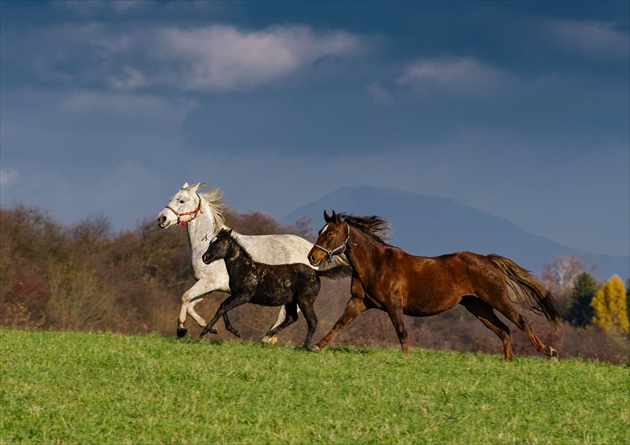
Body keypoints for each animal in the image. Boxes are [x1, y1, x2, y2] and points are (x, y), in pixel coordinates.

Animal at [158, 182, 316, 342]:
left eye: (181, 200)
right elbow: (191, 305)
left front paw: (181, 329)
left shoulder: (208, 282)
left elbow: (185, 297)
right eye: (171, 198)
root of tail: (311, 250)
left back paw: (266, 339)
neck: (207, 244)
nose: (162, 219)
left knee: (284, 316)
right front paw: (212, 329)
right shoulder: (208, 286)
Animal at [200, 227, 354, 348]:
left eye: (219, 243)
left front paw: (204, 332)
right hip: (291, 302)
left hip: (305, 301)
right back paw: (268, 335)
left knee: (312, 321)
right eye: (210, 242)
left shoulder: (243, 296)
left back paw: (306, 346)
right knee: (291, 318)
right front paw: (234, 331)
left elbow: (223, 308)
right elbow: (223, 307)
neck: (244, 269)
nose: (205, 258)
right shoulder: (236, 295)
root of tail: (317, 273)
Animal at [308, 210, 564, 360]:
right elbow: (339, 324)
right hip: (477, 306)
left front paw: (406, 359)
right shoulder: (359, 302)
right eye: (321, 231)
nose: (313, 257)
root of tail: (489, 260)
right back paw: (509, 362)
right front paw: (316, 347)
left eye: (330, 233)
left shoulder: (393, 305)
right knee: (503, 330)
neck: (376, 264)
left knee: (520, 321)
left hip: (497, 299)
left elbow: (402, 332)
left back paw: (548, 351)